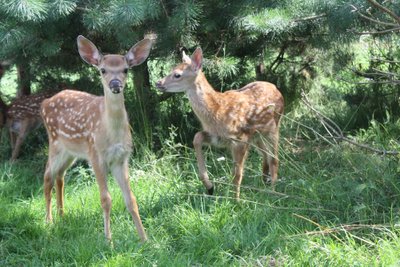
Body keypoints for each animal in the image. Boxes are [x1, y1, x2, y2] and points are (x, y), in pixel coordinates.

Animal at [41, 35, 152, 243]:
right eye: (103, 70)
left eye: (125, 69)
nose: (115, 84)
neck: (111, 132)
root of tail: (44, 102)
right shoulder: (96, 155)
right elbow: (105, 199)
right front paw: (109, 241)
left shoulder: (121, 158)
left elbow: (131, 199)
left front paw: (145, 239)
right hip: (55, 144)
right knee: (47, 176)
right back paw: (49, 221)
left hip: (71, 152)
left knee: (60, 176)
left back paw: (62, 215)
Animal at [156, 48, 284, 200]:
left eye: (177, 74)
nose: (158, 83)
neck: (217, 110)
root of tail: (277, 89)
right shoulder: (219, 137)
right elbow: (197, 137)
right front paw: (210, 187)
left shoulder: (240, 139)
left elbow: (237, 174)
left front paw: (236, 201)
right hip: (257, 135)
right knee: (265, 155)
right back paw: (264, 181)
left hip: (273, 128)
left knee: (274, 158)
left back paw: (273, 192)